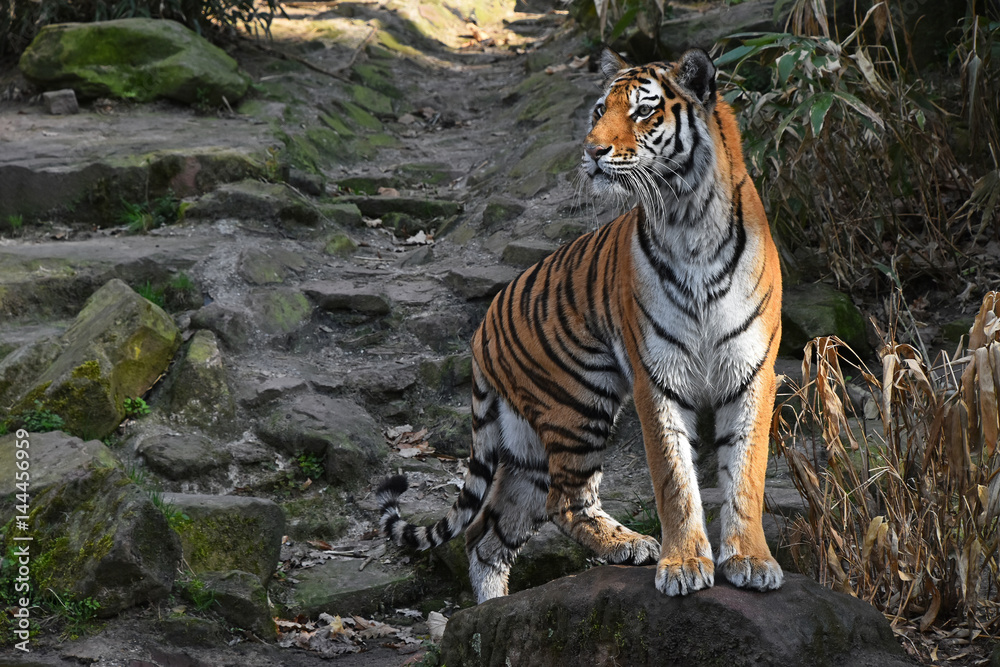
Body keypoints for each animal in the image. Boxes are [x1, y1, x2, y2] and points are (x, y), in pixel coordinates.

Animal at [378, 47, 783, 602]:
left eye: (642, 111)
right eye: (598, 110)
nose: (592, 151)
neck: (688, 217)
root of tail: (480, 330)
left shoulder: (751, 372)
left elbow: (746, 472)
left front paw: (751, 559)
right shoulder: (655, 378)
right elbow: (675, 480)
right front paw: (682, 564)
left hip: (528, 442)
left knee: (487, 534)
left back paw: (488, 610)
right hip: (576, 401)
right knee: (561, 503)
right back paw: (631, 545)